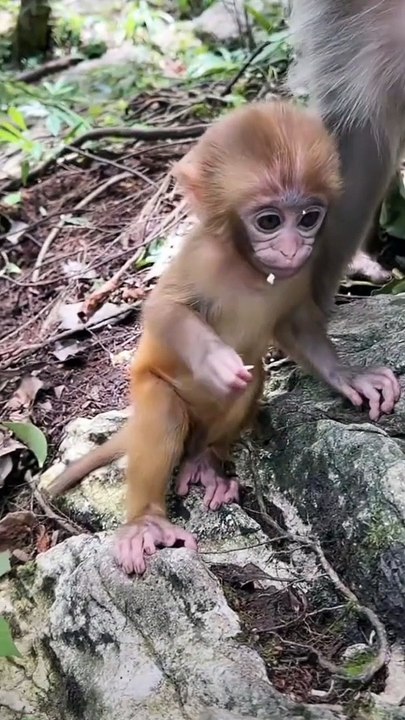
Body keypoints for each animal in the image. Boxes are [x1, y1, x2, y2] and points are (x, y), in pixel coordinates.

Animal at [47, 100, 400, 575]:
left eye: (308, 218)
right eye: (269, 221)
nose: (292, 247)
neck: (248, 267)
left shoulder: (301, 271)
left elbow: (295, 326)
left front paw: (349, 376)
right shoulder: (202, 257)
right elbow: (164, 310)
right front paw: (214, 358)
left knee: (248, 383)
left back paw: (205, 461)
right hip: (153, 390)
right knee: (166, 413)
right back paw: (145, 522)